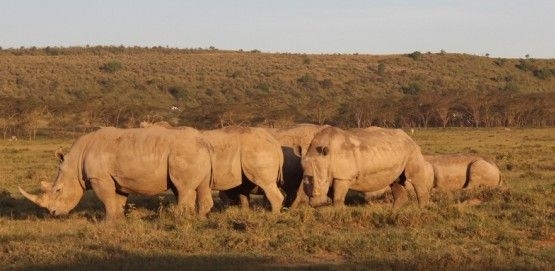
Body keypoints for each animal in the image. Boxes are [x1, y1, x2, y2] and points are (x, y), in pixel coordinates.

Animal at [20, 127, 215, 221]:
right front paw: (118, 220)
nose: (53, 213)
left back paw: (179, 219)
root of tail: (204, 141)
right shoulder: (118, 179)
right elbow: (118, 200)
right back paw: (199, 219)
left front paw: (106, 222)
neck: (75, 162)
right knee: (201, 186)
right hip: (196, 152)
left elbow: (106, 198)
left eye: (58, 190)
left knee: (182, 188)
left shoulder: (99, 178)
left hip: (184, 152)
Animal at [302, 127, 432, 208]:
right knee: (395, 180)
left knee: (414, 177)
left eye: (320, 181)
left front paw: (340, 211)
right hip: (397, 152)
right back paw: (394, 211)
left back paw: (421, 209)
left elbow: (338, 197)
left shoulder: (343, 176)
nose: (314, 204)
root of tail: (409, 137)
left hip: (412, 150)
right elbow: (334, 194)